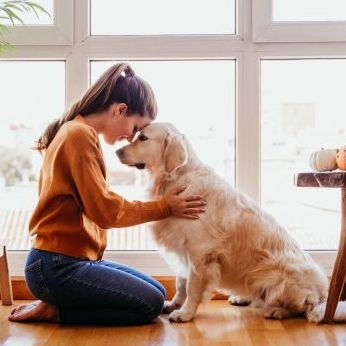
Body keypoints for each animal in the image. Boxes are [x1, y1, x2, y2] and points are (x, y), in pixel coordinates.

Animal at [116, 123, 346, 324]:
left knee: (303, 308)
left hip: (281, 276)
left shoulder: (199, 252)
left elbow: (191, 287)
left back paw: (277, 310)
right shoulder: (183, 249)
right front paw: (174, 304)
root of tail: (323, 294)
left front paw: (185, 313)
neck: (176, 178)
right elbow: (181, 283)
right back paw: (242, 298)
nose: (117, 151)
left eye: (143, 138)